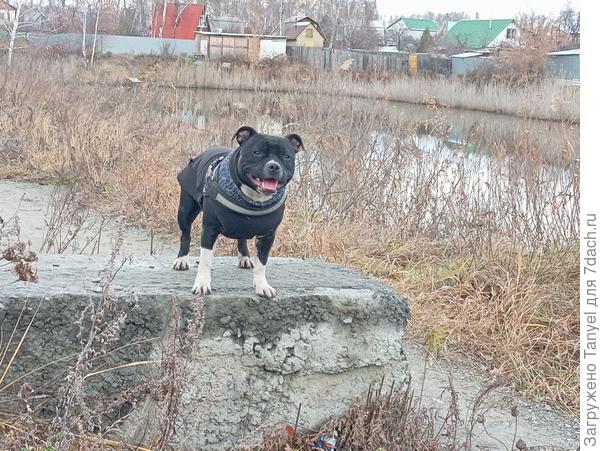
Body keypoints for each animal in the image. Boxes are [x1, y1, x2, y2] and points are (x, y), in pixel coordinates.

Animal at [173, 126, 303, 299]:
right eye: (257, 152)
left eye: (286, 156)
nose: (274, 166)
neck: (253, 199)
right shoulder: (210, 228)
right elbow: (205, 259)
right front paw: (202, 284)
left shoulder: (268, 235)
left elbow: (262, 263)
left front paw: (262, 286)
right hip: (185, 212)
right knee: (186, 234)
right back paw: (181, 260)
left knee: (242, 239)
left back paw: (245, 258)